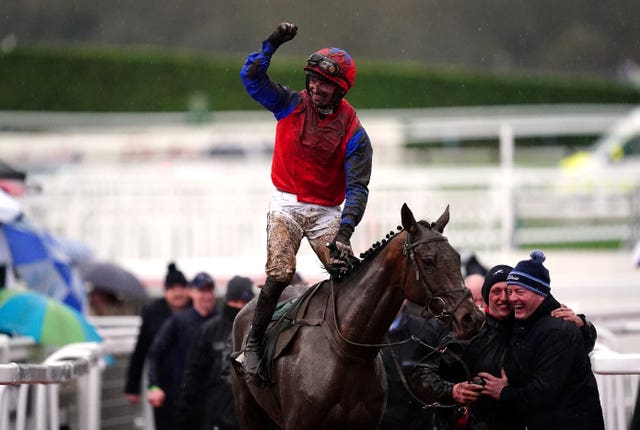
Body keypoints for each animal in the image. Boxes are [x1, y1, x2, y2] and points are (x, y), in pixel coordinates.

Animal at [230, 204, 484, 430]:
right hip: (247, 408)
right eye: (428, 261)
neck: (348, 352)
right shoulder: (298, 423)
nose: (472, 318)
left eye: (457, 257)